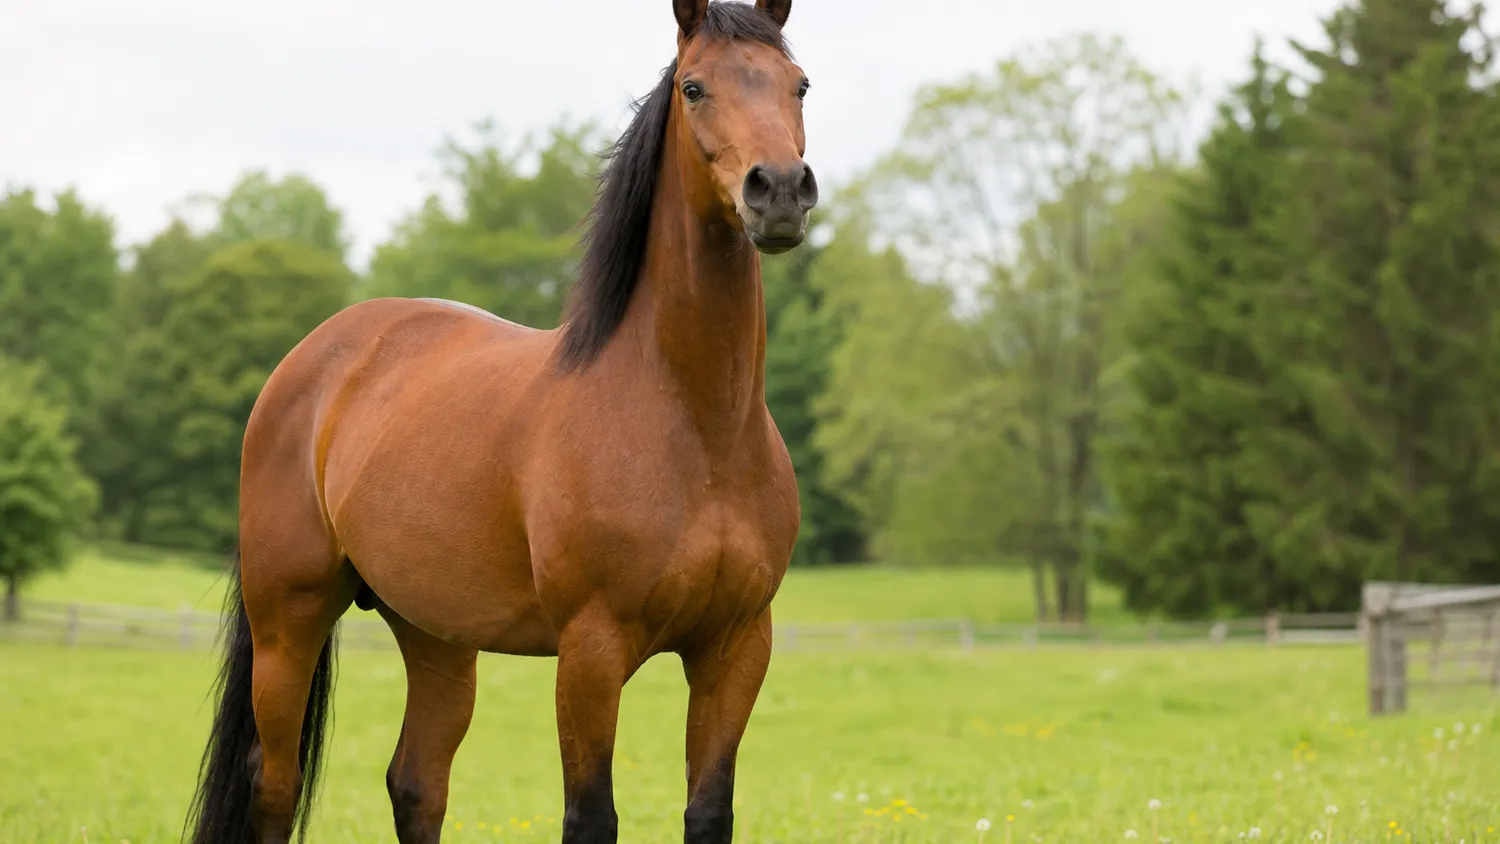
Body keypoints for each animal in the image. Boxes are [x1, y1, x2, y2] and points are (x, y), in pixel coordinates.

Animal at [183, 1, 816, 842]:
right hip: (289, 620)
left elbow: (709, 812)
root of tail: (313, 359)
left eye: (798, 83)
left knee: (417, 783)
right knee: (274, 786)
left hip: (435, 634)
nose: (777, 191)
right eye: (694, 87)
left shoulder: (737, 647)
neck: (696, 424)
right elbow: (591, 816)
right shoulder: (591, 650)